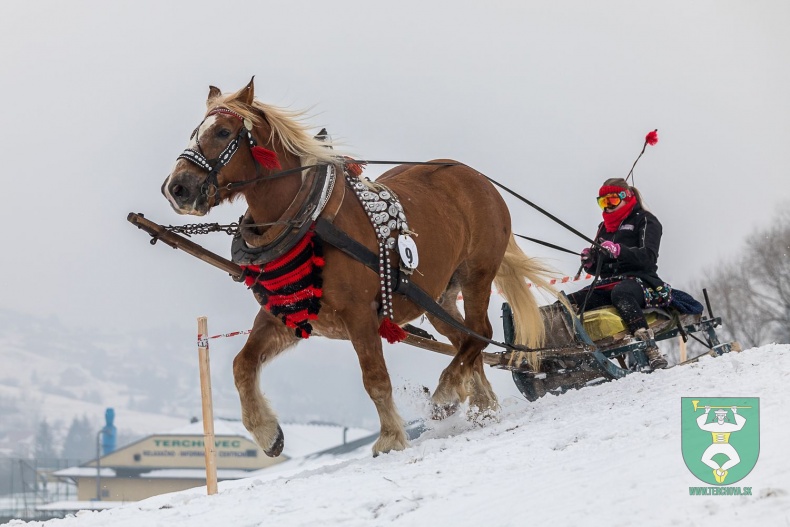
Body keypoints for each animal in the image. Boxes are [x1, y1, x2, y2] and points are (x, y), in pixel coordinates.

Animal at [164, 78, 552, 458]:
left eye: (223, 132)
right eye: (195, 131)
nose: (177, 188)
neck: (310, 220)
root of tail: (477, 178)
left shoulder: (360, 314)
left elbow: (375, 379)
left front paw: (391, 438)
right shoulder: (288, 315)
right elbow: (242, 365)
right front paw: (266, 432)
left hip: (477, 275)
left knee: (479, 332)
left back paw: (445, 396)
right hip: (438, 297)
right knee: (467, 341)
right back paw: (481, 404)